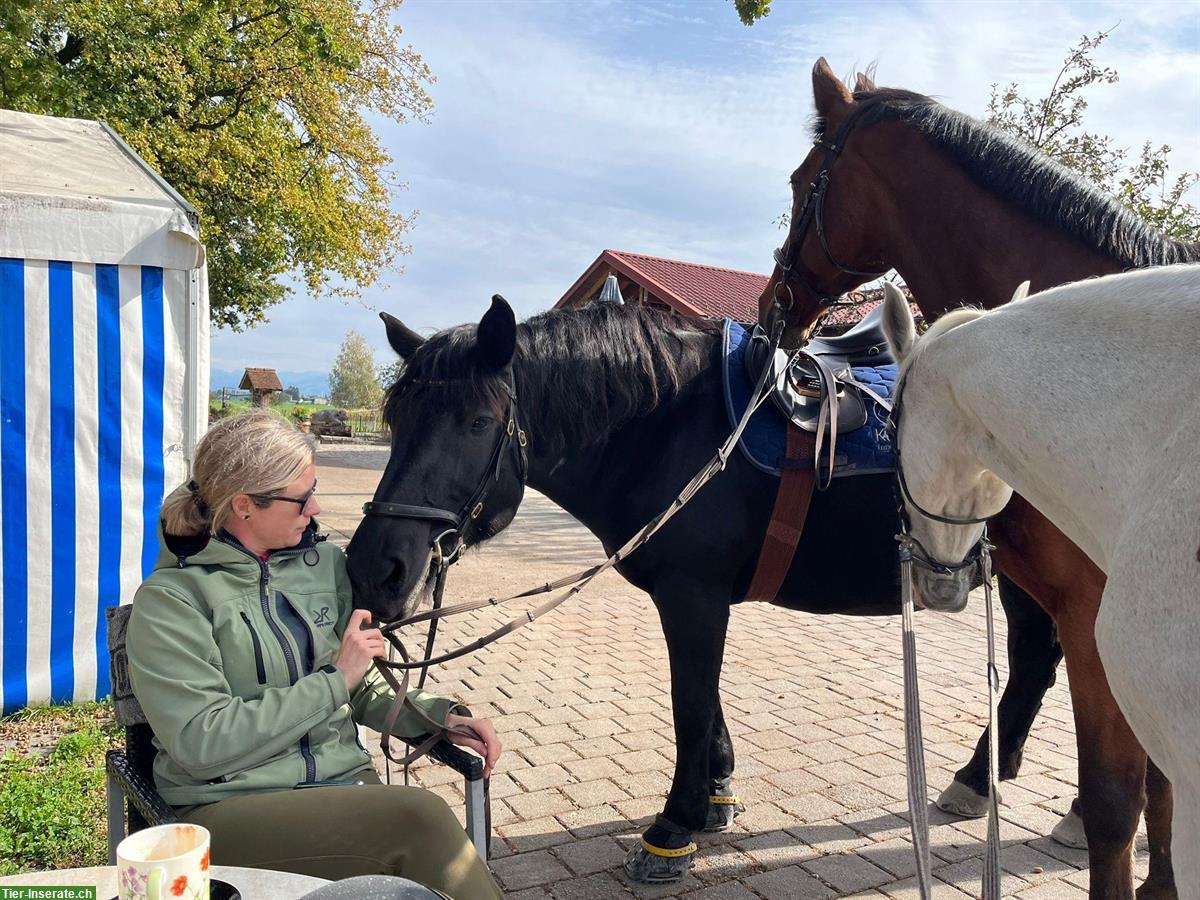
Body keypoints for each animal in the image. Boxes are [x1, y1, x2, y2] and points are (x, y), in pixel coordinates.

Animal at [350, 297, 1070, 888]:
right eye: (398, 416)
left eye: (476, 422)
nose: (375, 569)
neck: (675, 430)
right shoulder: (698, 597)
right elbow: (707, 695)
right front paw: (717, 793)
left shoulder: (693, 595)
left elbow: (690, 701)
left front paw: (674, 827)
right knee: (1037, 663)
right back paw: (985, 780)